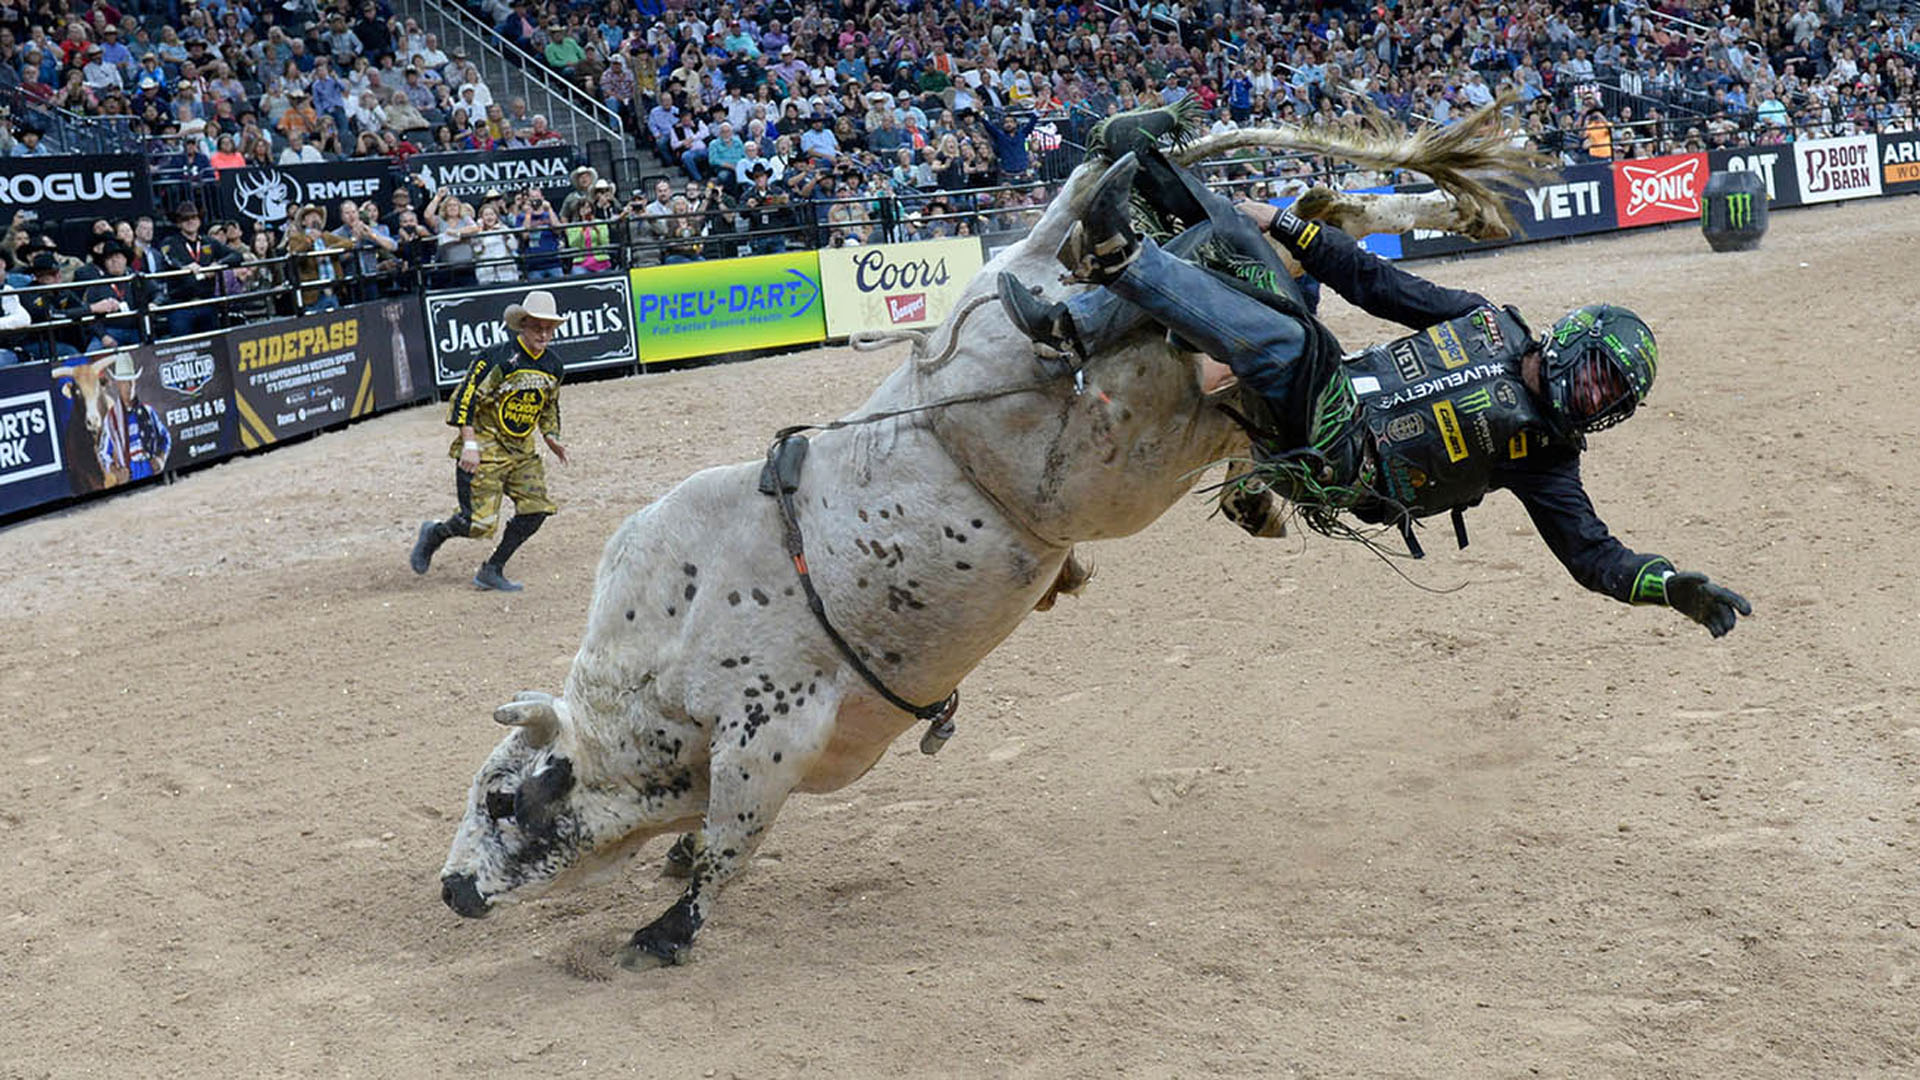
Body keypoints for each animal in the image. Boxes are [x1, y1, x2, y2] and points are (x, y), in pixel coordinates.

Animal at [440, 102, 1537, 969]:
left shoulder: (771, 729)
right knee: (1284, 238)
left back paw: (1125, 174)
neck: (661, 668)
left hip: (1042, 366)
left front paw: (663, 931)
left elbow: (726, 845)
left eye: (500, 800)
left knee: (1093, 236)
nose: (450, 890)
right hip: (1180, 403)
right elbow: (703, 838)